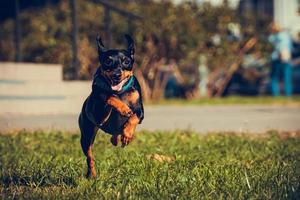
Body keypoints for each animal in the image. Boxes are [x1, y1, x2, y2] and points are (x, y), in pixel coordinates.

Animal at [78, 34, 144, 178]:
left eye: (126, 61)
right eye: (108, 61)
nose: (116, 75)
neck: (120, 92)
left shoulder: (140, 112)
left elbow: (134, 117)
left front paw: (127, 134)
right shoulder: (99, 115)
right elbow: (109, 97)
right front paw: (123, 109)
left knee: (116, 132)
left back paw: (120, 137)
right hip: (87, 135)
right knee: (90, 157)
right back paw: (92, 174)